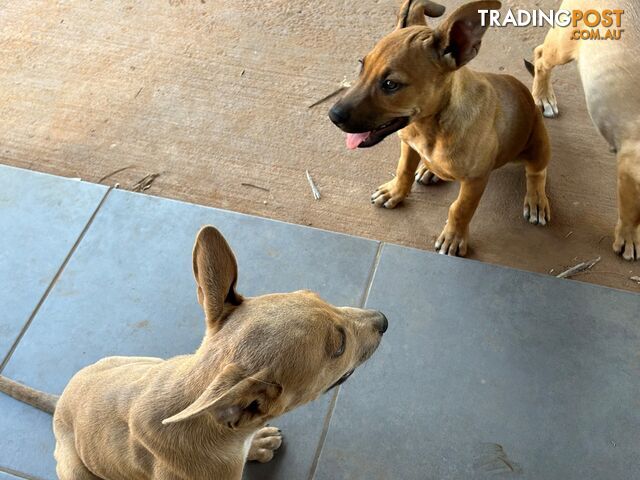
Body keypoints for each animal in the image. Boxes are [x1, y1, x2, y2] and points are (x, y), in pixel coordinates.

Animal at [0, 226, 388, 480]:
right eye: (338, 346)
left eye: (314, 295)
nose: (383, 320)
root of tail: (60, 403)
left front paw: (257, 444)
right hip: (75, 468)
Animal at [330, 0, 552, 258]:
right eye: (361, 66)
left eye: (390, 84)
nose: (332, 116)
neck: (430, 127)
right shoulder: (409, 145)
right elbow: (404, 170)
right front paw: (395, 192)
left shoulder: (475, 180)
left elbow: (460, 208)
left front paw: (454, 237)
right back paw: (429, 169)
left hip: (538, 142)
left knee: (536, 173)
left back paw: (536, 199)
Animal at [524, 0, 640, 260]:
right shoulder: (631, 168)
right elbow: (632, 213)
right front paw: (629, 240)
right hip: (563, 45)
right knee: (541, 57)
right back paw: (543, 97)